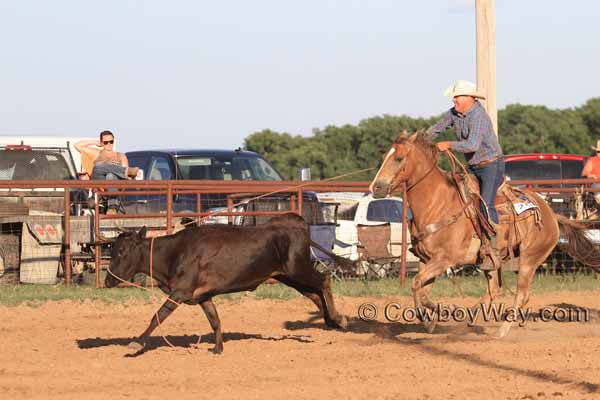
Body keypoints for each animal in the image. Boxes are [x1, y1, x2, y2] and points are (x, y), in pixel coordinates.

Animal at [370, 131, 600, 338]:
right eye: (385, 157)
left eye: (399, 158)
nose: (376, 187)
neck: (438, 203)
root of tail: (551, 214)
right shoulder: (426, 260)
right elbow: (421, 288)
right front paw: (431, 320)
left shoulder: (444, 259)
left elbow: (417, 284)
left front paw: (441, 314)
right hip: (494, 261)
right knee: (496, 290)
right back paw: (470, 318)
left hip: (529, 259)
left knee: (520, 294)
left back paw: (501, 330)